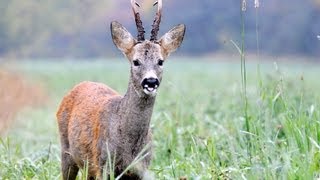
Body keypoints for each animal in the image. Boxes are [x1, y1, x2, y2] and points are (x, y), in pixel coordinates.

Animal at [56, 0, 184, 179]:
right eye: (136, 61)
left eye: (160, 61)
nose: (151, 81)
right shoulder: (104, 164)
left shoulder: (143, 167)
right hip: (67, 150)